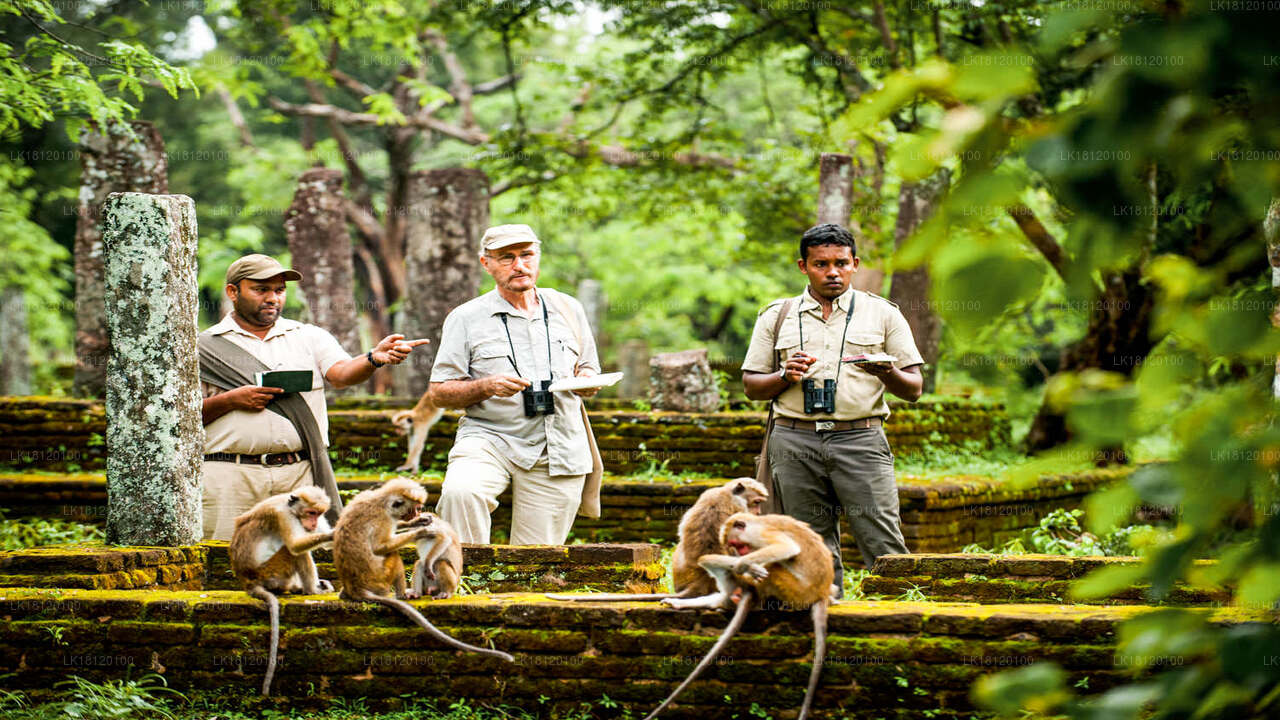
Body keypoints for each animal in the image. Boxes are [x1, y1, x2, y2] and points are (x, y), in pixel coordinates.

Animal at [229, 484, 335, 691]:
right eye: (310, 512)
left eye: (318, 514)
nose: (312, 524)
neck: (291, 509)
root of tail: (248, 581)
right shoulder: (283, 516)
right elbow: (295, 546)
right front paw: (334, 533)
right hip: (271, 572)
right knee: (293, 552)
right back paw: (312, 590)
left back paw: (298, 588)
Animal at [330, 479, 514, 661]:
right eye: (416, 508)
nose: (415, 515)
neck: (381, 502)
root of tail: (355, 587)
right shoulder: (385, 519)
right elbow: (380, 547)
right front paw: (420, 530)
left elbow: (442, 539)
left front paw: (419, 527)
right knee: (415, 561)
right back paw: (410, 594)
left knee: (438, 564)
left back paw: (441, 591)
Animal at [645, 509, 834, 717]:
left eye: (738, 544)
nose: (741, 553)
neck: (755, 522)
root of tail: (821, 593)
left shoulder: (758, 534)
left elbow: (786, 548)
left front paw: (742, 565)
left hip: (796, 590)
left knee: (772, 567)